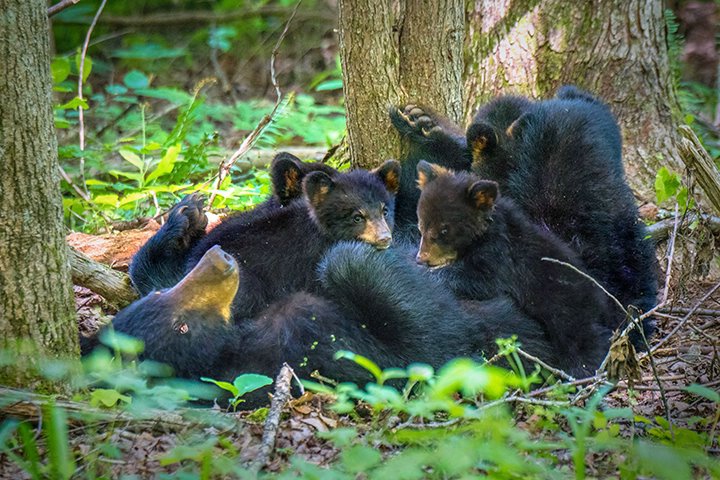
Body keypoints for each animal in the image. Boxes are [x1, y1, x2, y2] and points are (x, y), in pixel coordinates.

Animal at [414, 161, 612, 372]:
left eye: (444, 230)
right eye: (421, 224)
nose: (421, 258)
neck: (484, 233)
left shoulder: (499, 255)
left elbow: (480, 280)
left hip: (568, 312)